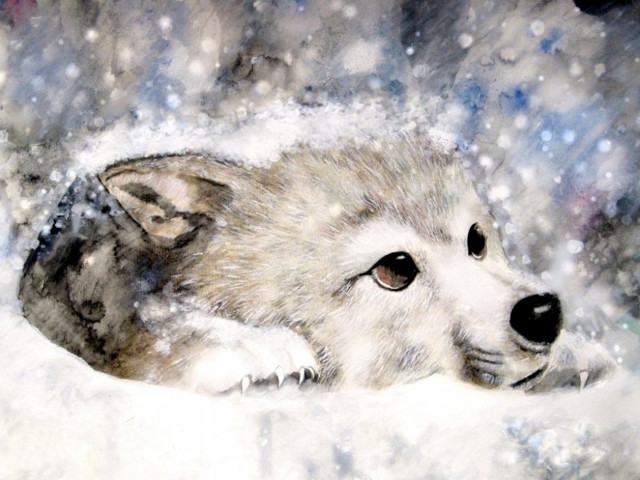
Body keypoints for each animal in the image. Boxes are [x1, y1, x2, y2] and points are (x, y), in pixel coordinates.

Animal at [19, 138, 613, 394]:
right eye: (395, 269)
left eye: (477, 241)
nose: (543, 313)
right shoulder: (127, 332)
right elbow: (169, 335)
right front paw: (254, 345)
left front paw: (574, 351)